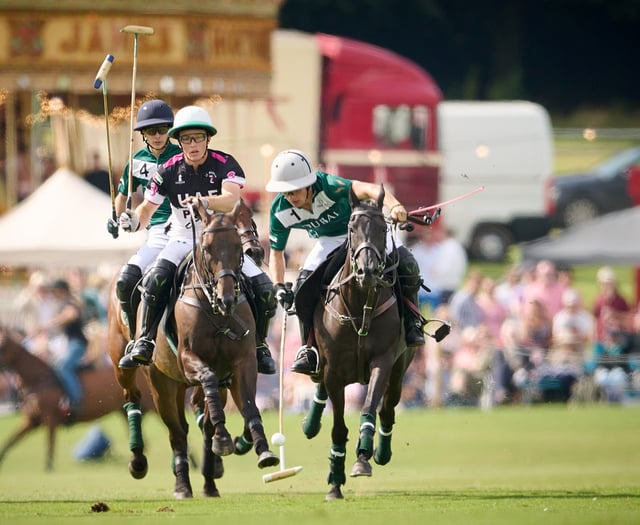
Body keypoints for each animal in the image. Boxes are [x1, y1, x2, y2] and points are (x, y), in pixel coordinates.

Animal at [0, 326, 154, 468]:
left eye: (3, 345)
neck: (40, 380)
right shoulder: (31, 420)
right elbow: (10, 441)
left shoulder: (50, 419)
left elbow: (49, 446)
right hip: (124, 412)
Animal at [106, 196, 264, 484]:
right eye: (208, 248)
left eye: (251, 218)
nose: (254, 253)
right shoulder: (188, 357)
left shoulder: (240, 361)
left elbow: (244, 404)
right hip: (133, 368)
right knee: (135, 399)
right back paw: (140, 461)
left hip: (176, 380)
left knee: (190, 415)